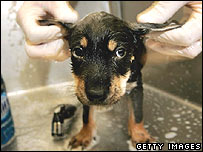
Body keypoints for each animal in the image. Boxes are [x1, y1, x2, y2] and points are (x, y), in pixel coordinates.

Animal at [38, 11, 180, 150]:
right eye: (78, 51)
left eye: (120, 52)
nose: (96, 94)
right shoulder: (83, 91)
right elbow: (86, 116)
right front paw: (84, 135)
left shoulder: (136, 86)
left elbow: (137, 114)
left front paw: (140, 136)